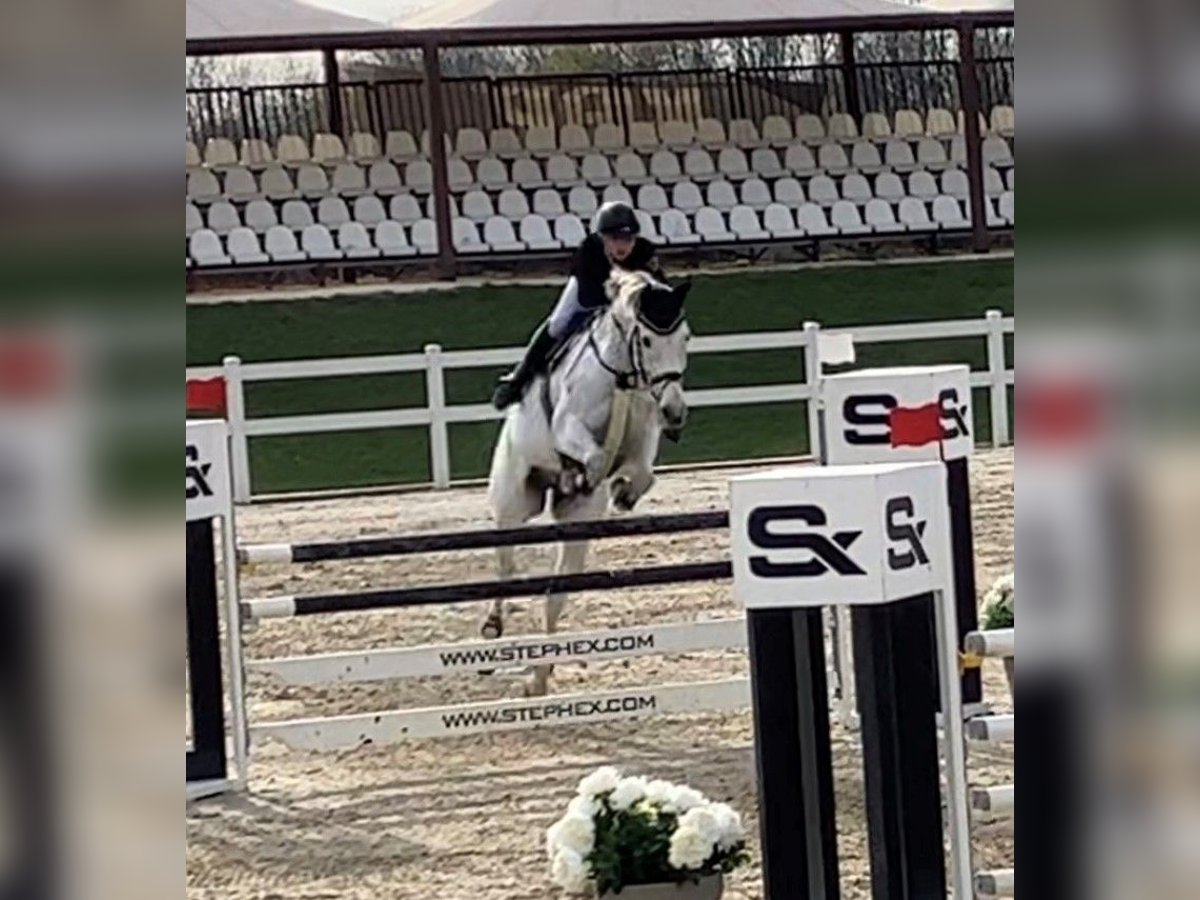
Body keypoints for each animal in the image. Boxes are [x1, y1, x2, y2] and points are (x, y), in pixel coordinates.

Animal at [482, 267, 696, 696]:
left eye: (685, 337)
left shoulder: (642, 440)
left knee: (555, 595)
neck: (624, 376)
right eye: (647, 340)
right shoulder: (568, 428)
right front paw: (588, 476)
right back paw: (494, 626)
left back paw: (540, 678)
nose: (675, 413)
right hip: (513, 502)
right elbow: (594, 457)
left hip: (576, 528)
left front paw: (623, 493)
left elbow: (642, 472)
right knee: (505, 566)